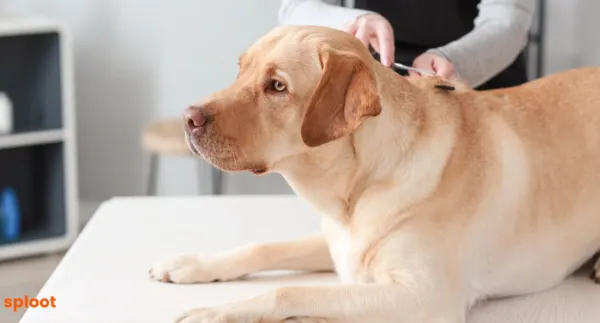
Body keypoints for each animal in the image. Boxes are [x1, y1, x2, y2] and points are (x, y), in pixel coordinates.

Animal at [149, 26, 600, 323]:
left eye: (277, 86)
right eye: (240, 69)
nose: (188, 119)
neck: (358, 187)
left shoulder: (424, 297)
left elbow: (289, 291)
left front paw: (213, 312)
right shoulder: (341, 245)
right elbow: (263, 247)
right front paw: (193, 264)